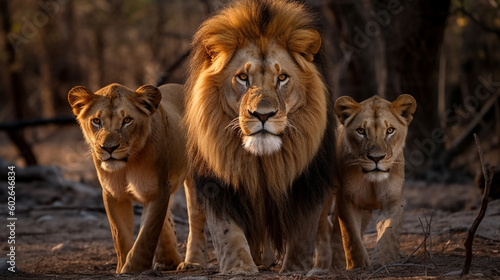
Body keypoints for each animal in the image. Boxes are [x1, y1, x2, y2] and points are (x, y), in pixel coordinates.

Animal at [67, 83, 206, 274]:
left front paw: (133, 269)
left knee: (195, 216)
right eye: (96, 121)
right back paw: (168, 261)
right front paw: (121, 268)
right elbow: (121, 236)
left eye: (127, 120)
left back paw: (192, 263)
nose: (108, 148)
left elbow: (146, 236)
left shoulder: (157, 191)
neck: (127, 166)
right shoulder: (113, 195)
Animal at [185, 0, 336, 274]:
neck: (262, 161)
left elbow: (303, 235)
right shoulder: (219, 186)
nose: (263, 115)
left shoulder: (307, 183)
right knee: (195, 218)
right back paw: (192, 262)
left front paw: (294, 268)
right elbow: (227, 233)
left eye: (282, 78)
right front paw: (240, 268)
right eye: (243, 77)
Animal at [314, 95, 416, 270]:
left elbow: (388, 234)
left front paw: (381, 263)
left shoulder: (393, 200)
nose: (376, 158)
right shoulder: (347, 199)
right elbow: (351, 237)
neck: (371, 181)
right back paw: (321, 265)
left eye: (390, 130)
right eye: (361, 131)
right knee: (323, 229)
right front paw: (358, 265)